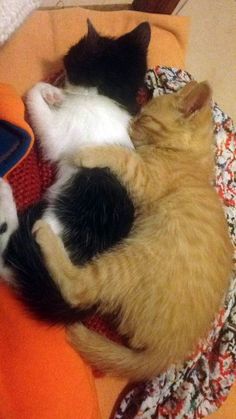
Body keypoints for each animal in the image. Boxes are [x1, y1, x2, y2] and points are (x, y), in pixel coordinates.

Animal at [0, 20, 151, 324]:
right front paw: (56, 93)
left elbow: (35, 97)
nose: (61, 72)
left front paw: (48, 92)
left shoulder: (60, 135)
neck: (108, 98)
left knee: (6, 258)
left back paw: (5, 196)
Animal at [33, 81, 232, 380]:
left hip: (127, 260)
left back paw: (44, 234)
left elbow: (122, 156)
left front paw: (89, 152)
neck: (188, 158)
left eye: (146, 118)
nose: (131, 123)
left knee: (78, 288)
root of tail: (168, 353)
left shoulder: (144, 178)